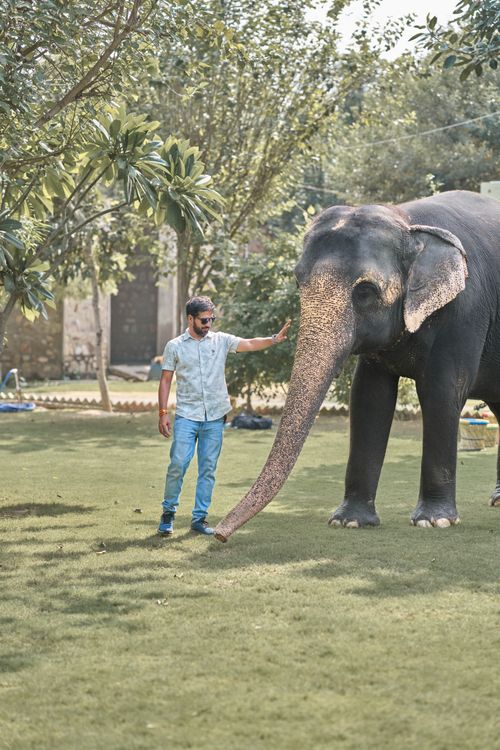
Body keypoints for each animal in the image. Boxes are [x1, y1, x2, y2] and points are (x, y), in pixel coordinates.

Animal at [215, 190, 500, 542]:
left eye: (365, 291)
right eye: (297, 282)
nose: (218, 533)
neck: (407, 221)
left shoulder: (464, 312)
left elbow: (442, 393)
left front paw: (435, 521)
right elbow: (368, 396)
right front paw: (349, 521)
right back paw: (499, 500)